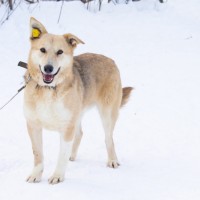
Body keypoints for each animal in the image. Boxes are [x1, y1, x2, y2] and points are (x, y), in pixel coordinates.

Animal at [23, 17, 133, 184]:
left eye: (60, 52)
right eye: (42, 50)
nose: (48, 68)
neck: (49, 90)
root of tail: (110, 60)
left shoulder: (67, 127)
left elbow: (61, 156)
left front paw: (57, 176)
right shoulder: (33, 126)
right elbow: (38, 154)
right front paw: (36, 175)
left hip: (107, 113)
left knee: (109, 138)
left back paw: (112, 160)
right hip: (78, 113)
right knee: (80, 133)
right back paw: (72, 155)